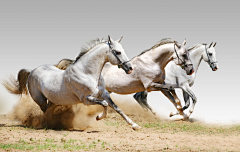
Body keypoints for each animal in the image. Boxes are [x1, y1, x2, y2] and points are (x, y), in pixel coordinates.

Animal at [2, 36, 142, 130]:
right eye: (118, 52)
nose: (130, 68)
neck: (87, 73)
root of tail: (32, 71)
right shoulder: (86, 99)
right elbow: (105, 104)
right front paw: (98, 117)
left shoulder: (104, 94)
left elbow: (116, 107)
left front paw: (135, 125)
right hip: (40, 100)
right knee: (45, 111)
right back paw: (47, 124)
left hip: (54, 100)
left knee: (49, 110)